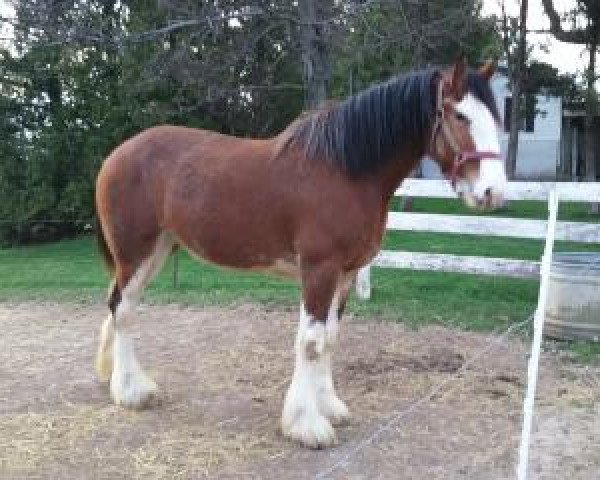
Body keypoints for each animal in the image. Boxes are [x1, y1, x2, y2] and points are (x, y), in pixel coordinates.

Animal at [95, 58, 506, 448]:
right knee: (123, 310)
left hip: (158, 250)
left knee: (119, 306)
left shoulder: (346, 274)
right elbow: (310, 343)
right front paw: (306, 425)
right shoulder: (319, 269)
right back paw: (131, 391)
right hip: (136, 253)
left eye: (496, 116)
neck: (348, 170)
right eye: (460, 115)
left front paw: (329, 406)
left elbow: (329, 340)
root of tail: (116, 154)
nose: (493, 193)